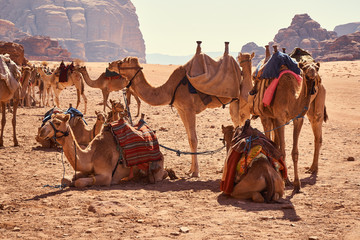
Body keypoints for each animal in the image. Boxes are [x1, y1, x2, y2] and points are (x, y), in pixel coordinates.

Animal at [38, 113, 168, 188]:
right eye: (50, 120)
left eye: (57, 122)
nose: (41, 131)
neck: (91, 155)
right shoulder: (87, 169)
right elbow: (65, 179)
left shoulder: (106, 176)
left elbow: (79, 182)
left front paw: (76, 182)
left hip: (156, 167)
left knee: (158, 175)